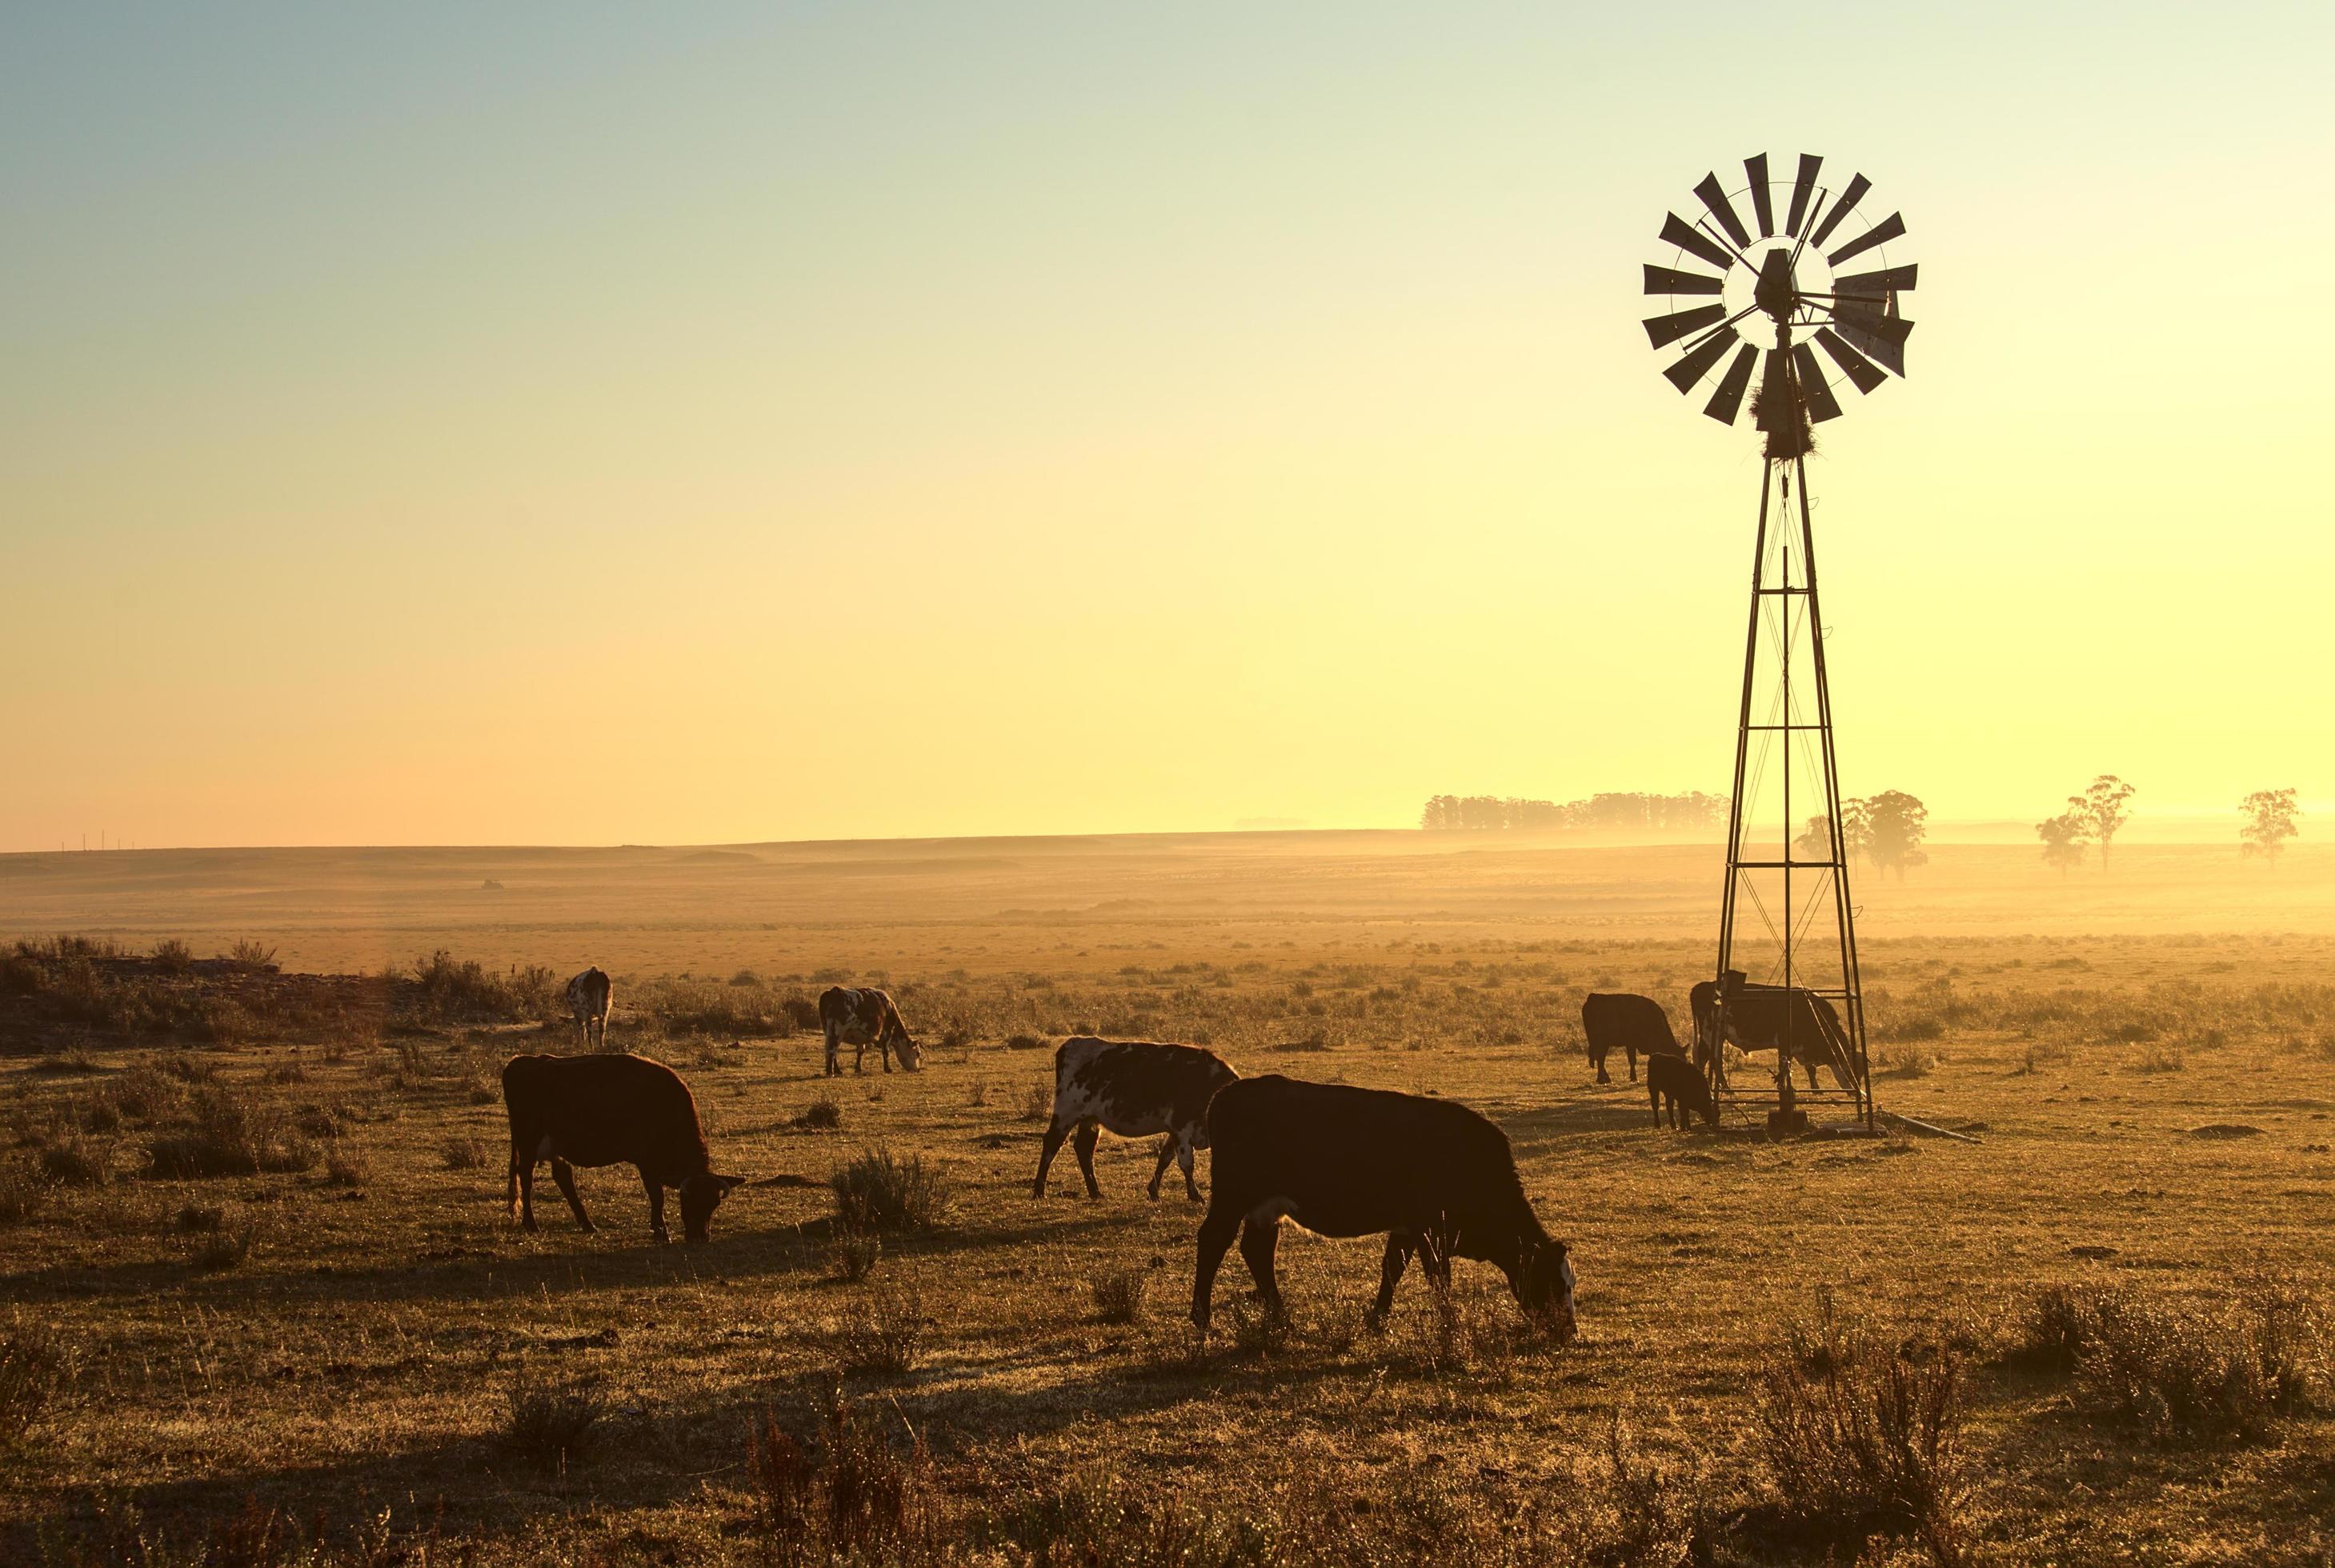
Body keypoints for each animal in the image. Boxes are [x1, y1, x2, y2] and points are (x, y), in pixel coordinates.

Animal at [504, 1054, 747, 1250]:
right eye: (688, 1200)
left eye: (714, 1204)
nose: (699, 1238)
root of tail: (521, 1061)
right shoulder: (646, 1163)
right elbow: (657, 1196)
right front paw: (661, 1232)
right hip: (528, 1141)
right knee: (525, 1176)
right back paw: (531, 1224)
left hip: (555, 1145)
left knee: (563, 1177)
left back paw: (588, 1224)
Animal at [812, 994, 919, 1078]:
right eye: (918, 1053)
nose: (917, 1070)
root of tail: (832, 993)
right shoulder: (887, 1032)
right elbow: (885, 1051)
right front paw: (888, 1069)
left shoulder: (860, 1037)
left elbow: (860, 1052)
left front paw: (858, 1069)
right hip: (837, 1031)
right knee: (832, 1051)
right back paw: (831, 1073)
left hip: (828, 1032)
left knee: (831, 1051)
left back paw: (837, 1071)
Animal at [1027, 1040, 1232, 1204]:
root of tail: (1071, 1044)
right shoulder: (1182, 1127)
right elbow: (1187, 1164)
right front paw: (1195, 1196)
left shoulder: (1175, 1130)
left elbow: (1165, 1159)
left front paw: (1153, 1192)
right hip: (1066, 1113)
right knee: (1052, 1144)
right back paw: (1039, 1191)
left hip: (1089, 1119)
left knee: (1084, 1149)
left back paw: (1095, 1192)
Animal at [1196, 1073, 1578, 1344]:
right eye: (1554, 1284)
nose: (1569, 1332)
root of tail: (1228, 1093)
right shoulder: (1431, 1229)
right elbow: (1439, 1278)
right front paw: (1449, 1326)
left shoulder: (1407, 1227)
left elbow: (1392, 1269)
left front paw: (1377, 1321)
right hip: (1232, 1196)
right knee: (1213, 1241)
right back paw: (1203, 1319)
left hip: (1264, 1207)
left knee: (1257, 1251)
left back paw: (1281, 1318)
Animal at [1700, 966, 1858, 1092]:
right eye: (1850, 1071)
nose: (1856, 1091)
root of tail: (1706, 986)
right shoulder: (1785, 1042)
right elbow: (1785, 1068)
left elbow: (1801, 1069)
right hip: (1713, 1036)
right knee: (1714, 1061)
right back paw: (1724, 1089)